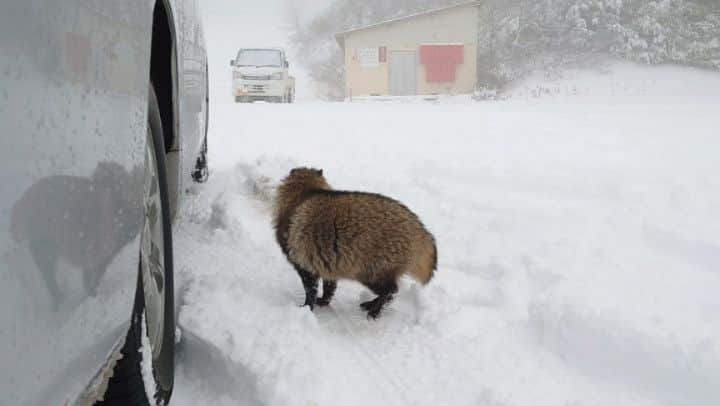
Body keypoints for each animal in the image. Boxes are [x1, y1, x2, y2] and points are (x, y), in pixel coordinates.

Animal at [272, 167, 436, 318]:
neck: (305, 193)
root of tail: (419, 230)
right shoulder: (327, 261)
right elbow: (329, 286)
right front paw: (324, 301)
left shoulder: (302, 261)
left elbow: (310, 289)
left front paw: (307, 307)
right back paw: (373, 303)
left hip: (372, 271)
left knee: (391, 291)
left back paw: (375, 309)